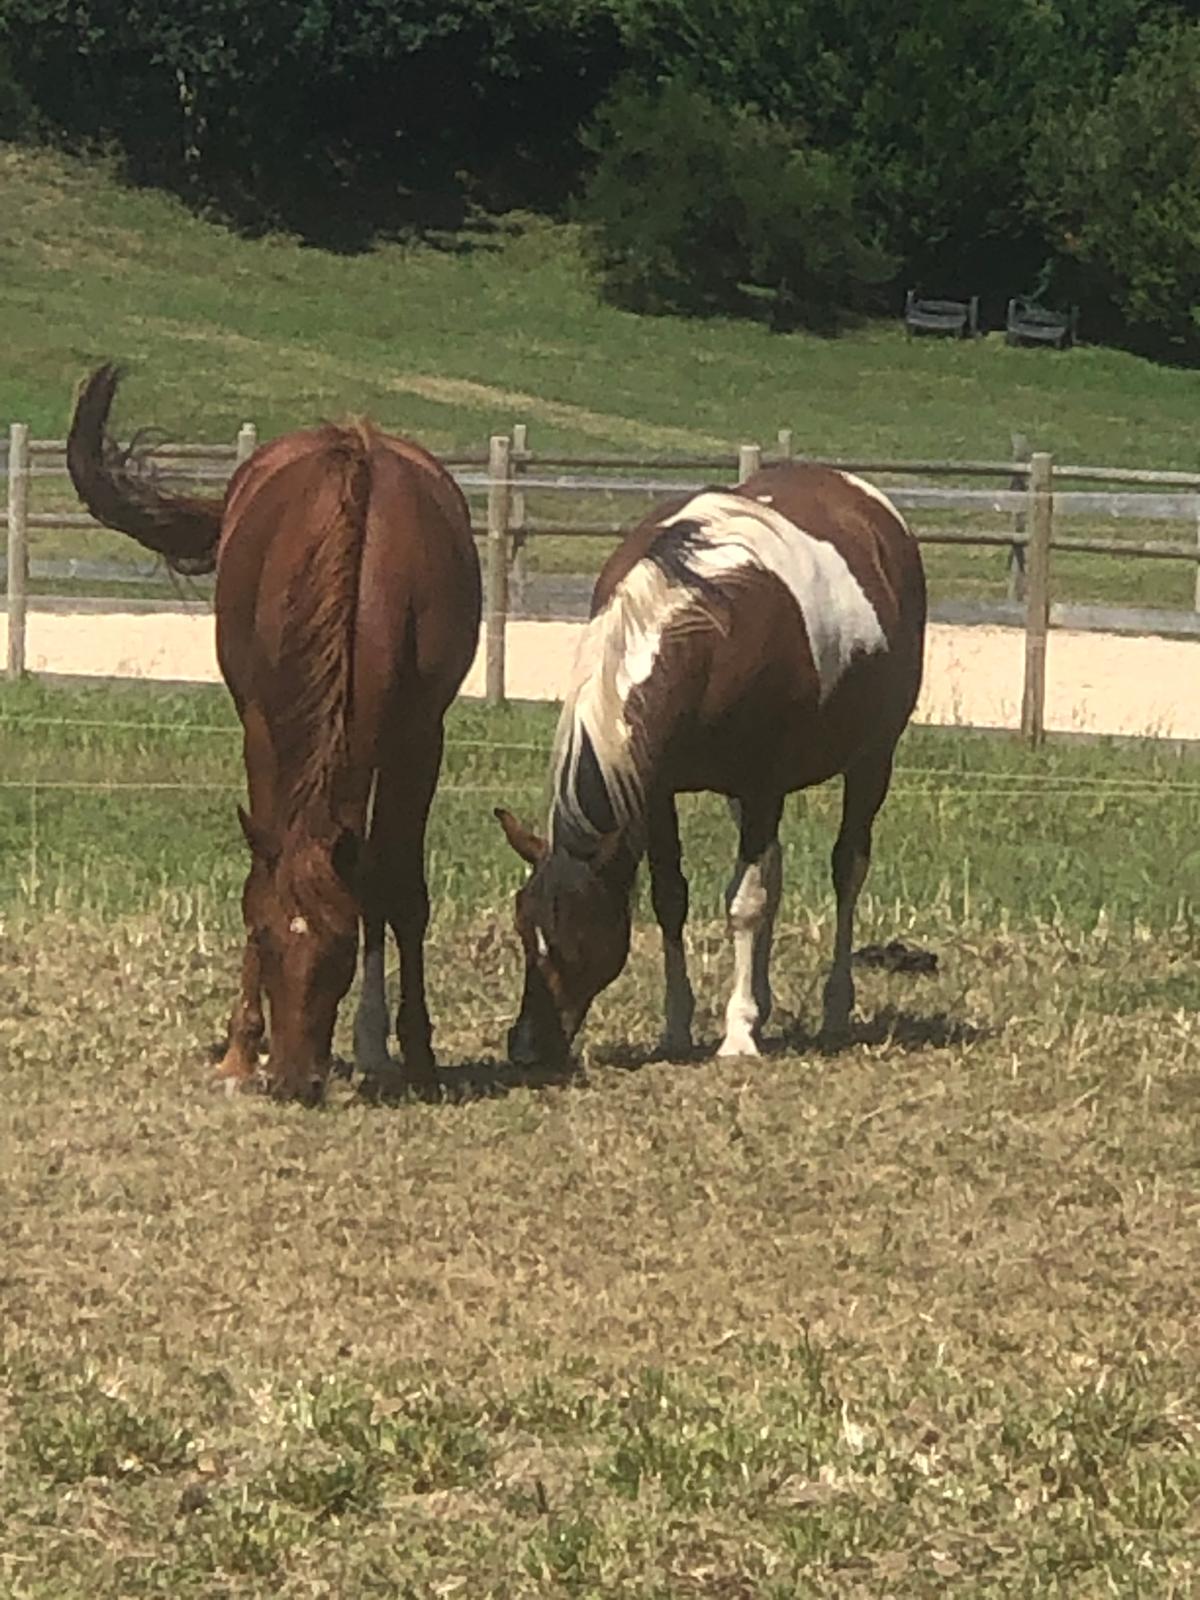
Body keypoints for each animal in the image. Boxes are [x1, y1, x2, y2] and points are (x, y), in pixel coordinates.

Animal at [67, 365, 482, 1101]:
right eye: (264, 939)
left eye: (339, 949)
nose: (292, 1079)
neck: (361, 569)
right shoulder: (260, 727)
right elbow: (261, 873)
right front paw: (240, 1049)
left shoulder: (419, 738)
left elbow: (399, 891)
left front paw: (419, 1057)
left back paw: (374, 1045)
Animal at [494, 464, 926, 1068]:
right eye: (522, 925)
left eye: (570, 936)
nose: (526, 1046)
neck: (708, 625)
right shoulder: (656, 792)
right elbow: (672, 897)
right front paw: (678, 1027)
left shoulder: (763, 784)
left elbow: (745, 902)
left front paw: (739, 1033)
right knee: (775, 870)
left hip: (872, 758)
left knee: (847, 868)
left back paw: (834, 1010)